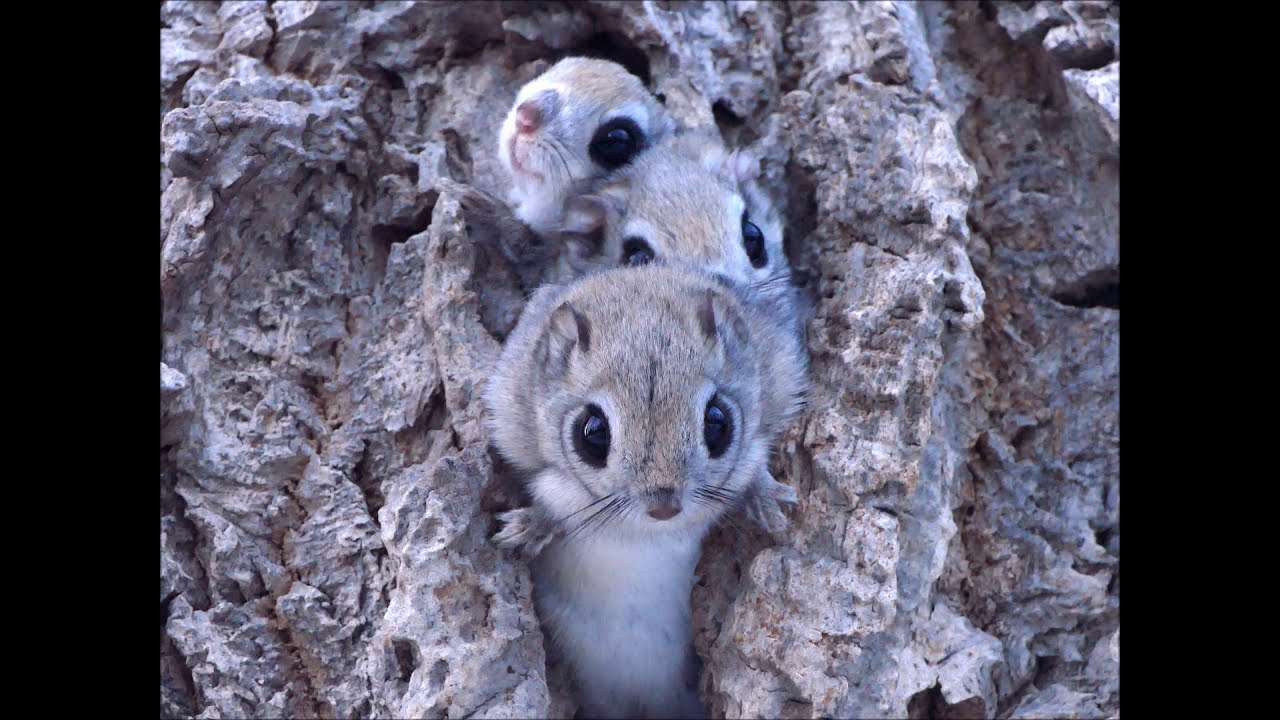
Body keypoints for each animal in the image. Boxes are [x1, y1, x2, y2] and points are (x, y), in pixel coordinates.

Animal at [483, 264, 808, 718]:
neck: (647, 537)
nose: (664, 505)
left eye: (718, 422)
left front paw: (764, 496)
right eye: (592, 434)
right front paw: (530, 525)